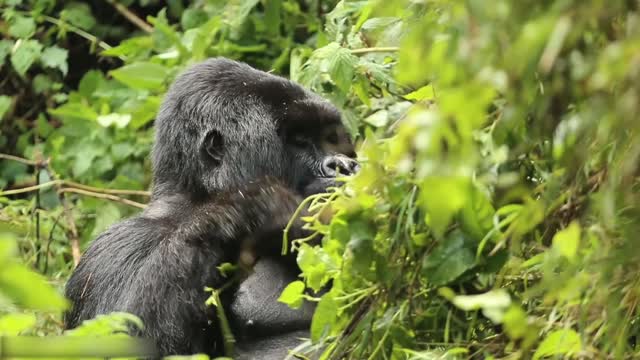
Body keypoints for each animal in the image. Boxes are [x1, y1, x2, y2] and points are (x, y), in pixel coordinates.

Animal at [65, 57, 360, 358]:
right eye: (300, 141)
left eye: (330, 139)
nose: (345, 165)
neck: (194, 202)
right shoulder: (112, 252)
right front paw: (252, 208)